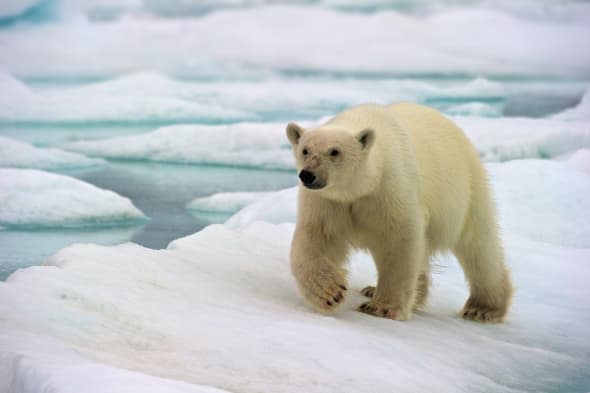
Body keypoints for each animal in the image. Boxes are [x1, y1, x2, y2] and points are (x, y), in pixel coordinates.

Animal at [286, 102, 512, 322]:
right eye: (305, 150)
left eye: (334, 151)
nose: (308, 175)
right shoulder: (327, 201)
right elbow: (317, 238)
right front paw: (329, 292)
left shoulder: (390, 187)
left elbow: (399, 240)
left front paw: (381, 307)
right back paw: (381, 290)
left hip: (465, 190)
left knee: (479, 247)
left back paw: (482, 309)